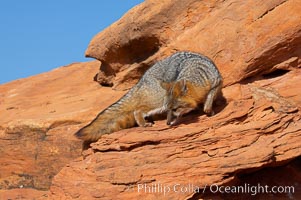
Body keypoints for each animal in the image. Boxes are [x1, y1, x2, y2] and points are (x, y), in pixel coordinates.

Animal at [74, 51, 221, 142]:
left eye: (174, 109)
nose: (167, 124)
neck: (198, 74)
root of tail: (141, 80)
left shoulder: (216, 82)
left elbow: (208, 100)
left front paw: (207, 109)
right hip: (158, 102)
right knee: (137, 110)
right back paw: (144, 124)